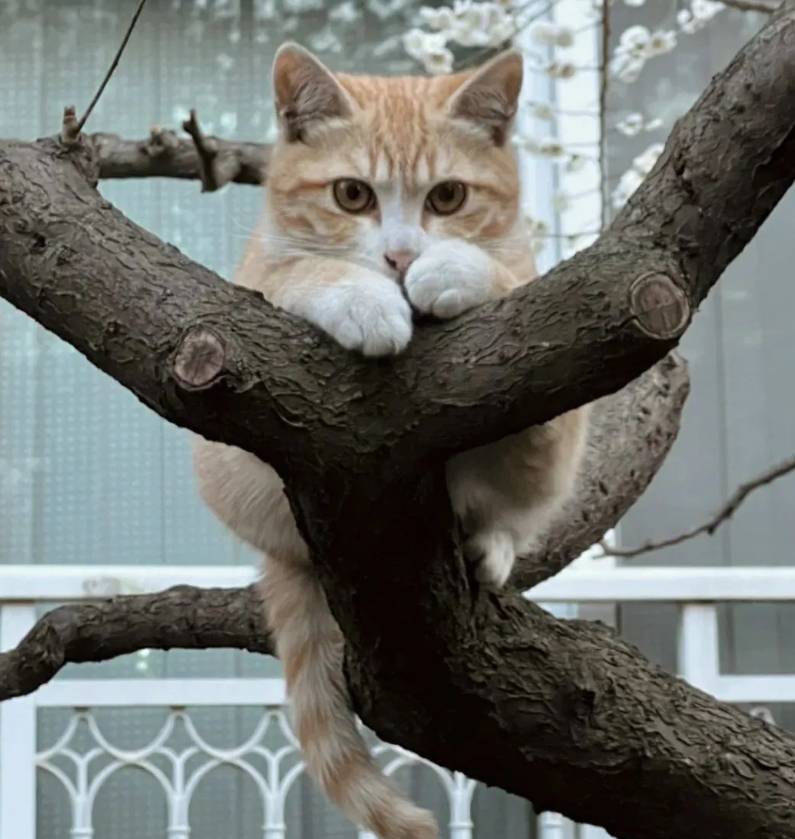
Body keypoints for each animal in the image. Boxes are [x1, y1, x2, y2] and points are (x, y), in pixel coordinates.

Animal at [195, 44, 588, 839]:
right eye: (351, 195)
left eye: (448, 197)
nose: (403, 258)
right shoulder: (253, 284)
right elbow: (301, 268)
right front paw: (364, 300)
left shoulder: (531, 291)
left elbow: (510, 278)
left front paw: (453, 269)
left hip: (549, 453)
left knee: (533, 460)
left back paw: (491, 540)